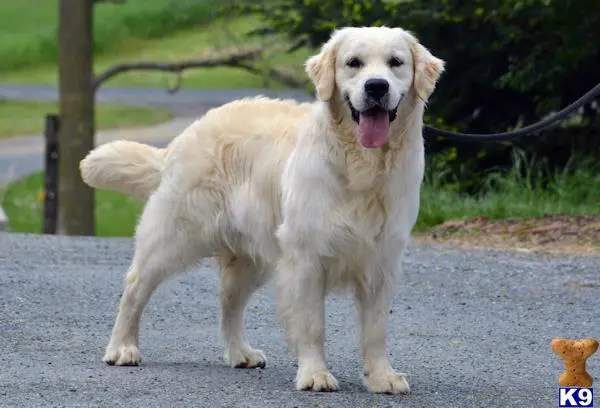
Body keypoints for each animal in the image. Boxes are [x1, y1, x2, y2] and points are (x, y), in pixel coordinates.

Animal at [79, 26, 446, 396]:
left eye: (396, 63)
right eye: (353, 63)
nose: (376, 87)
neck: (363, 165)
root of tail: (186, 135)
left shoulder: (381, 260)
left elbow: (376, 330)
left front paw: (381, 376)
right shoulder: (305, 259)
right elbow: (312, 325)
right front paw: (314, 374)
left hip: (252, 258)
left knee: (229, 303)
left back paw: (240, 352)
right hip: (175, 236)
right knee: (135, 286)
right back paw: (122, 347)